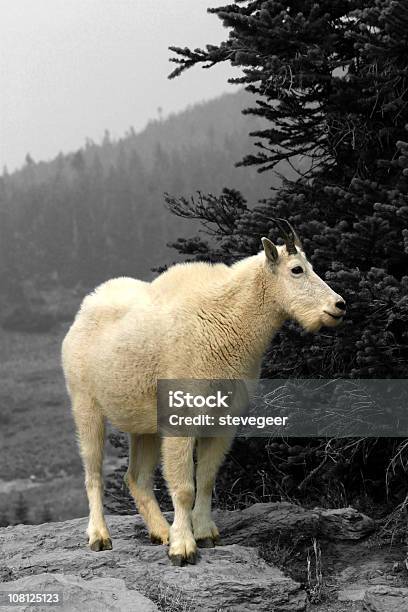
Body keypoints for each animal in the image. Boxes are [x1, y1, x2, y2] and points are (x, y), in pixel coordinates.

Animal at [62, 222, 346, 568]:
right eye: (296, 269)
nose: (339, 306)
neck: (229, 319)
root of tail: (82, 312)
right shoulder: (182, 415)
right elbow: (184, 486)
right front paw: (183, 548)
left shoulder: (224, 418)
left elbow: (208, 477)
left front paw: (205, 534)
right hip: (85, 403)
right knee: (93, 472)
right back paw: (100, 536)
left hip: (144, 424)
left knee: (137, 478)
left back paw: (161, 532)